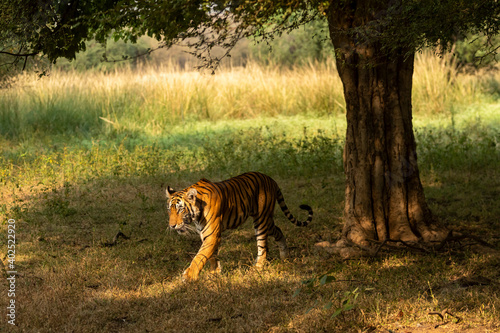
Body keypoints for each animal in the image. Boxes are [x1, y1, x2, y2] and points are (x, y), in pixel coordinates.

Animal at [165, 171, 312, 280]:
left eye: (180, 209)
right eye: (169, 210)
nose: (172, 226)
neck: (196, 214)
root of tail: (271, 179)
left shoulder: (212, 234)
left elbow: (200, 256)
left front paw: (189, 276)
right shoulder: (206, 234)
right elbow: (211, 255)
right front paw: (215, 273)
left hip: (261, 220)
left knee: (263, 247)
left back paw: (257, 267)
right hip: (267, 221)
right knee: (278, 231)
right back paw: (284, 256)